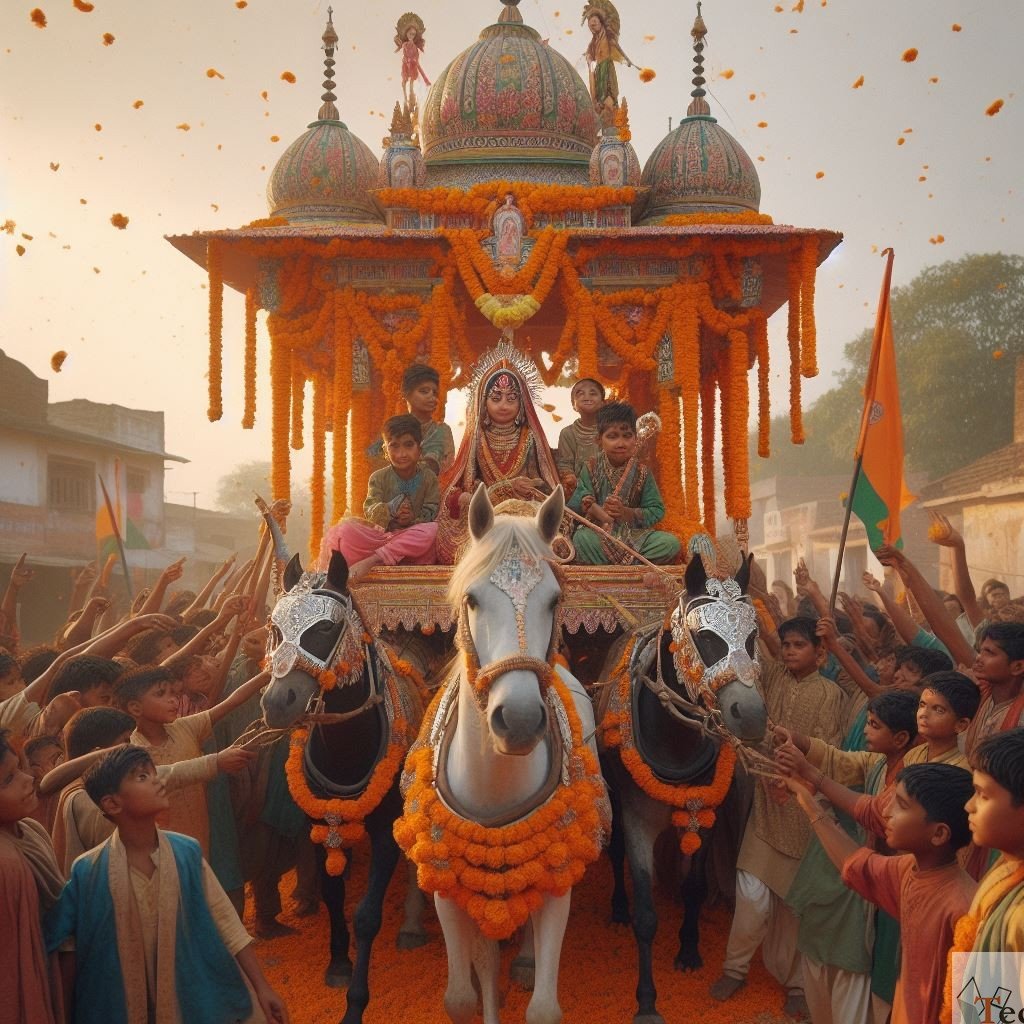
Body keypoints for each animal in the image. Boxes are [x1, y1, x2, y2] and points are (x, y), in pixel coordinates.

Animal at [397, 485, 606, 1024]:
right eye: (472, 600)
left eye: (554, 600)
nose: (520, 718)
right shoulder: (449, 886)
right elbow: (466, 993)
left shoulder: (558, 880)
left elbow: (544, 1008)